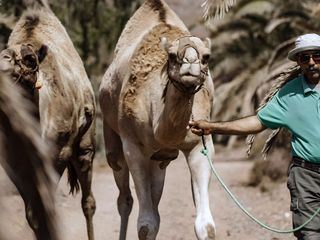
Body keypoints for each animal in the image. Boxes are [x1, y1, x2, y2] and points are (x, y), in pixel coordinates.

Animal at [99, 0, 215, 239]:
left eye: (207, 56)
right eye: (171, 55)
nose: (191, 63)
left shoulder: (200, 143)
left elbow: (206, 226)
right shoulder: (133, 146)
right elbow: (146, 224)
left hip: (160, 159)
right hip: (111, 134)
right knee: (124, 199)